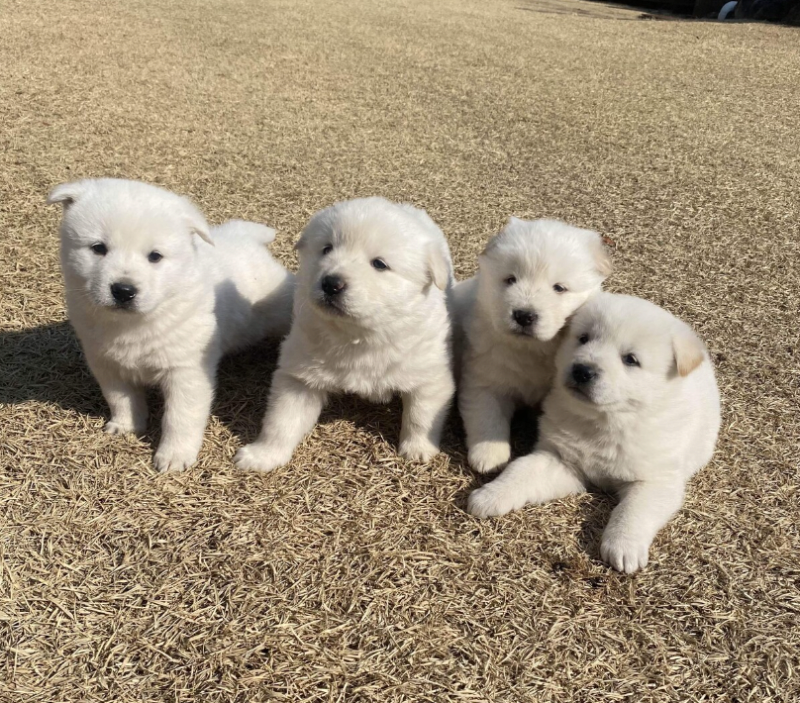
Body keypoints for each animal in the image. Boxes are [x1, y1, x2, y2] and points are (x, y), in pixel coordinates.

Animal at [48, 176, 296, 472]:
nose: (123, 290)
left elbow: (180, 418)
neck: (137, 322)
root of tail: (245, 237)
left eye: (155, 256)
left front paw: (174, 456)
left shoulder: (186, 372)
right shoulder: (107, 364)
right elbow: (121, 399)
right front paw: (126, 425)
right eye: (98, 248)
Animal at [234, 197, 454, 472]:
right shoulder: (299, 379)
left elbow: (420, 415)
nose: (331, 284)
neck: (358, 334)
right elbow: (282, 420)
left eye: (379, 264)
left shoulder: (430, 376)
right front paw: (262, 455)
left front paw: (418, 449)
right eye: (326, 249)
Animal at [454, 217, 608, 476]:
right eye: (510, 279)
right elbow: (487, 416)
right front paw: (488, 456)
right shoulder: (484, 378)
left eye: (559, 288)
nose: (524, 316)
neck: (531, 349)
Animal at [468, 294, 724, 576]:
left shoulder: (657, 480)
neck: (605, 421)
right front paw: (490, 495)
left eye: (630, 359)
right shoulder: (562, 460)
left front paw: (623, 547)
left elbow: (634, 510)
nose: (582, 370)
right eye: (583, 338)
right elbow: (521, 470)